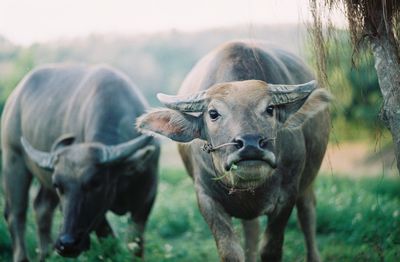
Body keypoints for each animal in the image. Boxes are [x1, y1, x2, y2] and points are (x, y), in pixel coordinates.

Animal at [1, 64, 161, 260]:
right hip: (13, 160)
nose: (66, 244)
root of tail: (14, 97)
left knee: (41, 208)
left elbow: (135, 245)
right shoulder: (99, 216)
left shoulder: (146, 199)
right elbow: (110, 242)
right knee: (16, 214)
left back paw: (46, 255)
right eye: (58, 185)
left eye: (96, 182)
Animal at [138, 40, 332, 260]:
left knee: (307, 215)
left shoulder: (288, 194)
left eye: (270, 109)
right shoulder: (206, 199)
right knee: (252, 230)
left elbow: (271, 248)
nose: (250, 144)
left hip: (307, 182)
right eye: (213, 113)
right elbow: (231, 251)